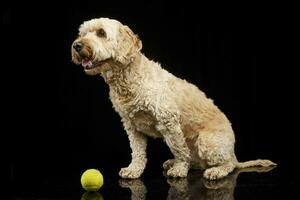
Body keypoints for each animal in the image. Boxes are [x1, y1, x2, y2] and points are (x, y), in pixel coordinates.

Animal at [71, 17, 276, 180]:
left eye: (101, 33)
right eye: (83, 33)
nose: (77, 46)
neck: (130, 79)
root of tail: (234, 153)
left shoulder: (168, 121)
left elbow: (179, 148)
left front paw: (179, 170)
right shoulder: (131, 126)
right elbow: (137, 151)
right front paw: (134, 170)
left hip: (207, 141)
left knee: (229, 165)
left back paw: (216, 171)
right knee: (198, 161)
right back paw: (175, 162)